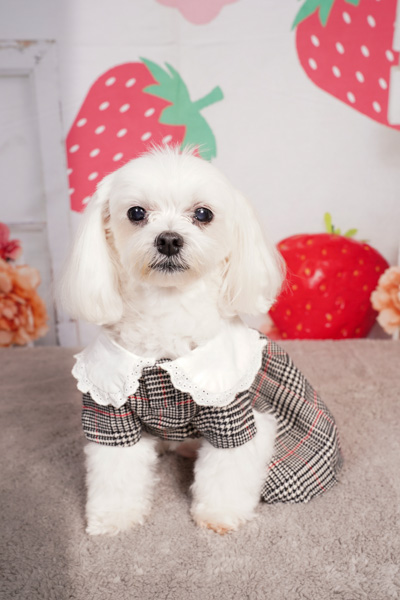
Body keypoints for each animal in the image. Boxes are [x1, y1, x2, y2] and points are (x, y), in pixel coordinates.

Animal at [61, 146, 286, 535]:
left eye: (203, 214)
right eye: (136, 213)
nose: (168, 239)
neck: (167, 311)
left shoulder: (233, 407)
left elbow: (227, 469)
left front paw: (219, 514)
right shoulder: (110, 411)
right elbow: (116, 470)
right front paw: (115, 516)